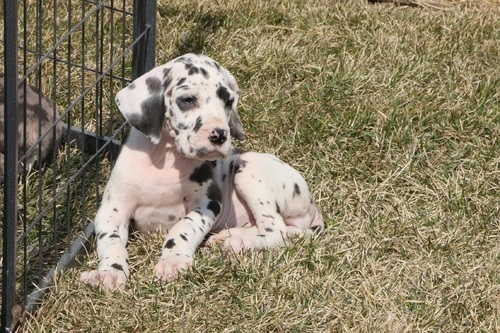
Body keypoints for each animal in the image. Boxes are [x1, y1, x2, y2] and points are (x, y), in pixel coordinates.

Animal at [80, 53, 324, 290]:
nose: (220, 135)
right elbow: (111, 241)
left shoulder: (208, 203)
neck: (166, 157)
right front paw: (110, 272)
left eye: (228, 101)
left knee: (276, 230)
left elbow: (181, 229)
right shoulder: (112, 209)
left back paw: (242, 242)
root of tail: (313, 207)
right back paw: (229, 235)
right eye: (188, 100)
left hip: (248, 169)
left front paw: (173, 261)